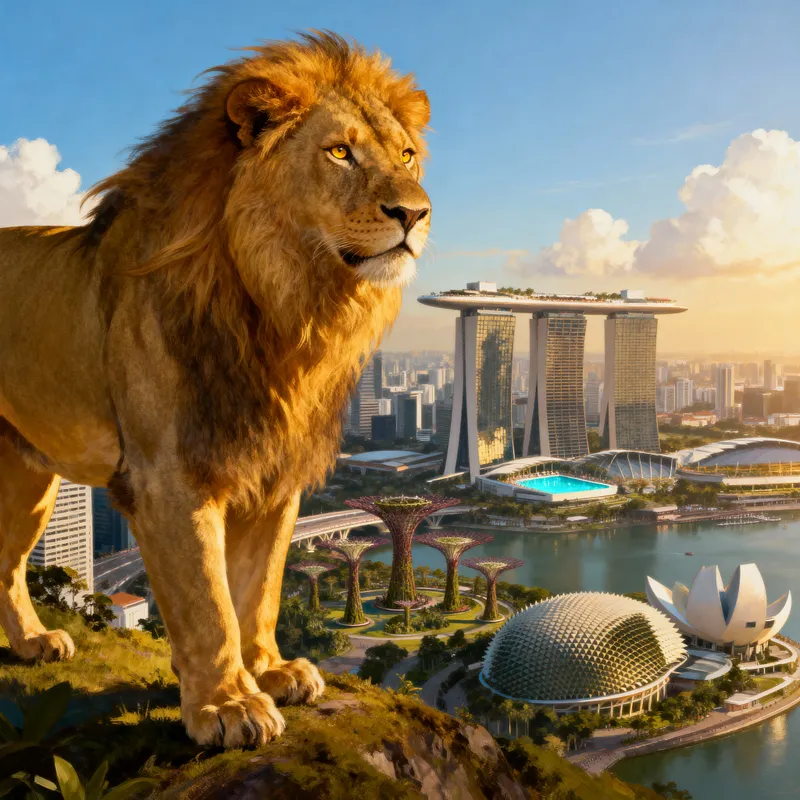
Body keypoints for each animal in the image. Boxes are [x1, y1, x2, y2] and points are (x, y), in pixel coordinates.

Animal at [0, 32, 430, 747]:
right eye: (339, 152)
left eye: (406, 155)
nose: (415, 212)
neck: (285, 306)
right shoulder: (169, 475)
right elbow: (207, 602)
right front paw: (226, 704)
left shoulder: (275, 472)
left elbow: (259, 589)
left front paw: (271, 671)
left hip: (30, 482)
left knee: (5, 563)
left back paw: (34, 643)